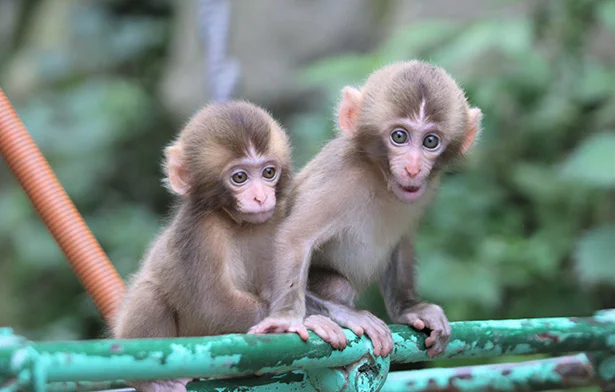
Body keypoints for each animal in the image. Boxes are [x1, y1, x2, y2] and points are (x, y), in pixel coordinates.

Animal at [113, 102, 346, 392]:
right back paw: (155, 382)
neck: (241, 224)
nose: (260, 197)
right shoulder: (200, 233)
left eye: (269, 172)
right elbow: (213, 306)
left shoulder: (284, 211)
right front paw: (306, 321)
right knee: (151, 295)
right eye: (239, 177)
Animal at [248, 60, 484, 358]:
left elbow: (402, 241)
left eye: (431, 141)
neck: (379, 177)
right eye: (399, 136)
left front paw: (409, 307)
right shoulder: (343, 178)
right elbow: (295, 238)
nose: (413, 168)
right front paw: (289, 318)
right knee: (338, 285)